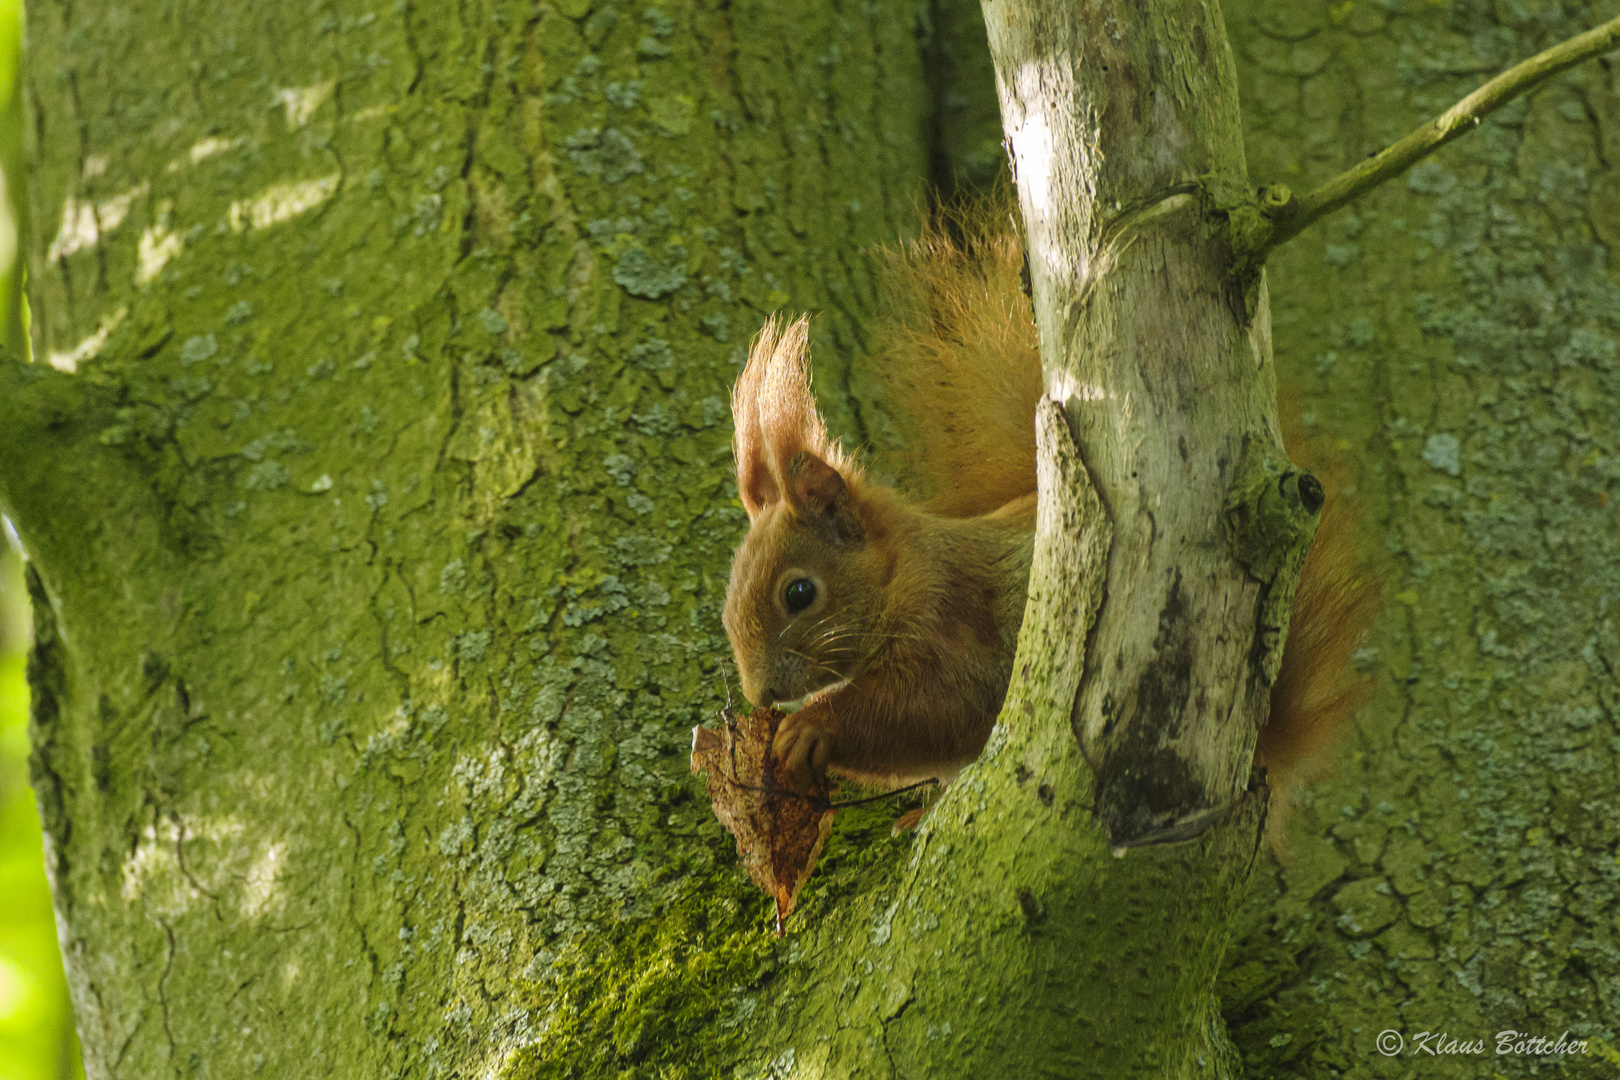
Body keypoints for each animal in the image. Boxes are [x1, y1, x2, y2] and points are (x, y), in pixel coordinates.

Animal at [722, 213, 1380, 803]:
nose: (759, 694)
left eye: (799, 593)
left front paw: (811, 728)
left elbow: (936, 703)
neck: (901, 568)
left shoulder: (953, 615)